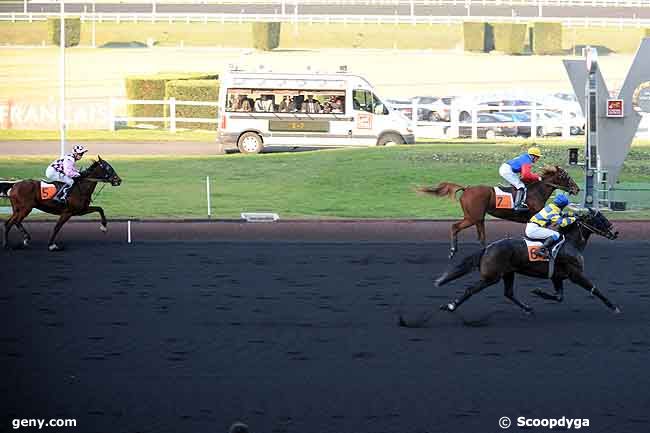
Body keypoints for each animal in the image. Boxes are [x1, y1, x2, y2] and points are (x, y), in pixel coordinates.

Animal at [418, 165, 580, 258]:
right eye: (565, 176)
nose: (577, 189)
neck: (536, 191)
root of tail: (466, 189)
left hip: (478, 218)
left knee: (481, 237)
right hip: (472, 217)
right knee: (455, 227)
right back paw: (453, 250)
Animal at [432, 209, 616, 314]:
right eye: (600, 219)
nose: (615, 233)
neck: (570, 243)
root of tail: (488, 248)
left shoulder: (557, 276)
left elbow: (559, 297)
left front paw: (538, 292)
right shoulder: (575, 274)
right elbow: (594, 288)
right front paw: (613, 306)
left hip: (508, 273)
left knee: (509, 293)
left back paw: (527, 308)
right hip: (492, 276)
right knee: (471, 289)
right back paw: (451, 306)